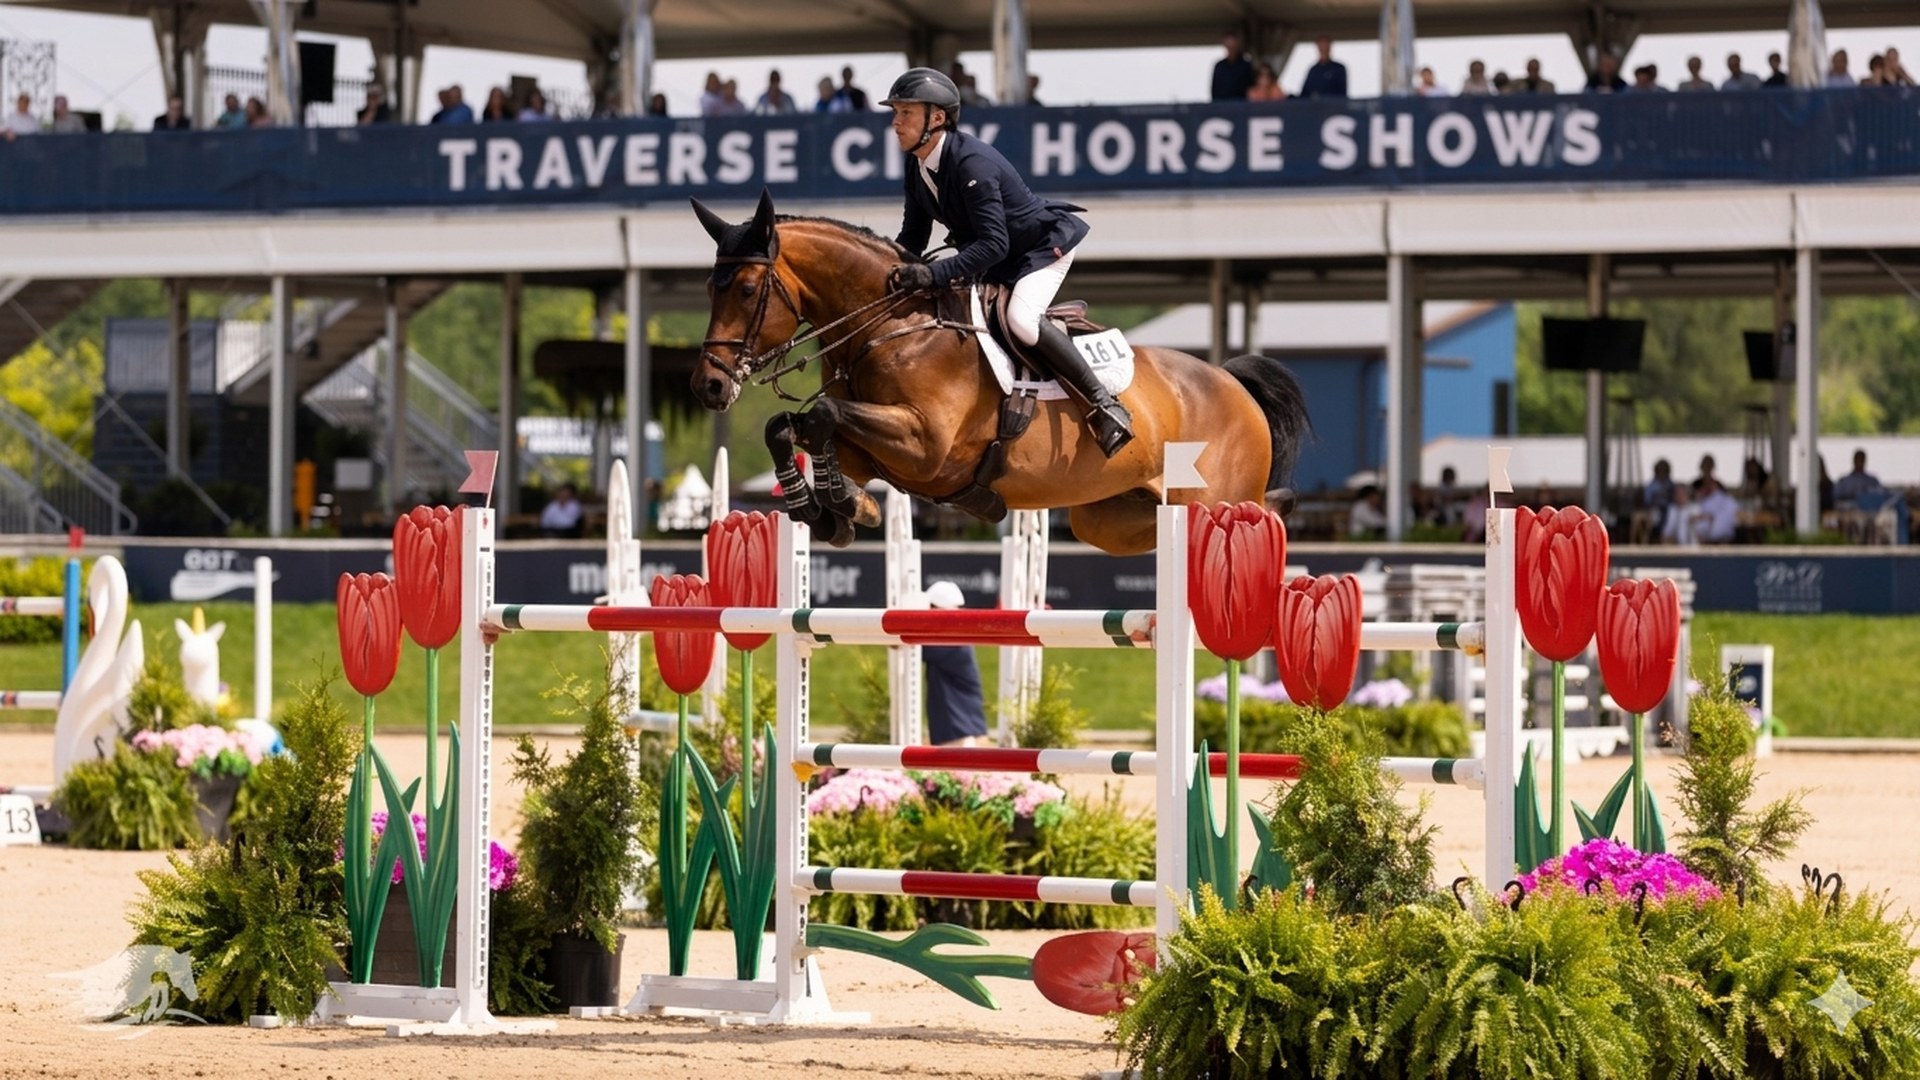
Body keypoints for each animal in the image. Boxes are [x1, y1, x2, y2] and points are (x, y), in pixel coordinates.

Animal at [689, 189, 1311, 557]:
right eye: (709, 289)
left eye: (747, 289)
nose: (709, 386)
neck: (890, 325)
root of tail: (1230, 381)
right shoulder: (871, 450)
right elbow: (790, 427)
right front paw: (829, 510)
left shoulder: (926, 446)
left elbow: (820, 412)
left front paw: (841, 505)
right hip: (1112, 517)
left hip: (1211, 497)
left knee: (1249, 514)